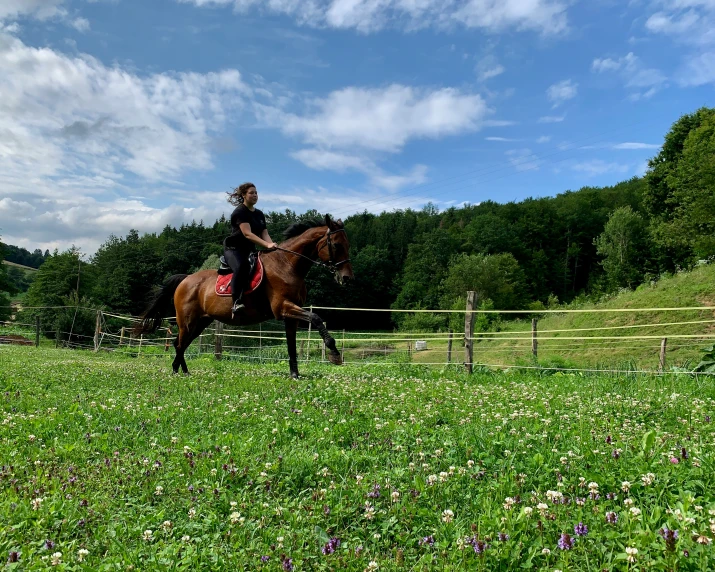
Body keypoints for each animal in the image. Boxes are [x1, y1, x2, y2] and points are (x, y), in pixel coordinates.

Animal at [133, 217, 354, 378]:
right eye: (336, 245)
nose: (347, 278)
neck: (288, 264)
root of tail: (185, 279)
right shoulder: (284, 307)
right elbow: (316, 318)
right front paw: (335, 354)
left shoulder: (290, 315)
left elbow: (291, 345)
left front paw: (295, 374)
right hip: (187, 321)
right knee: (179, 343)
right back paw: (176, 371)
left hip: (200, 322)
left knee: (181, 343)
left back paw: (184, 371)